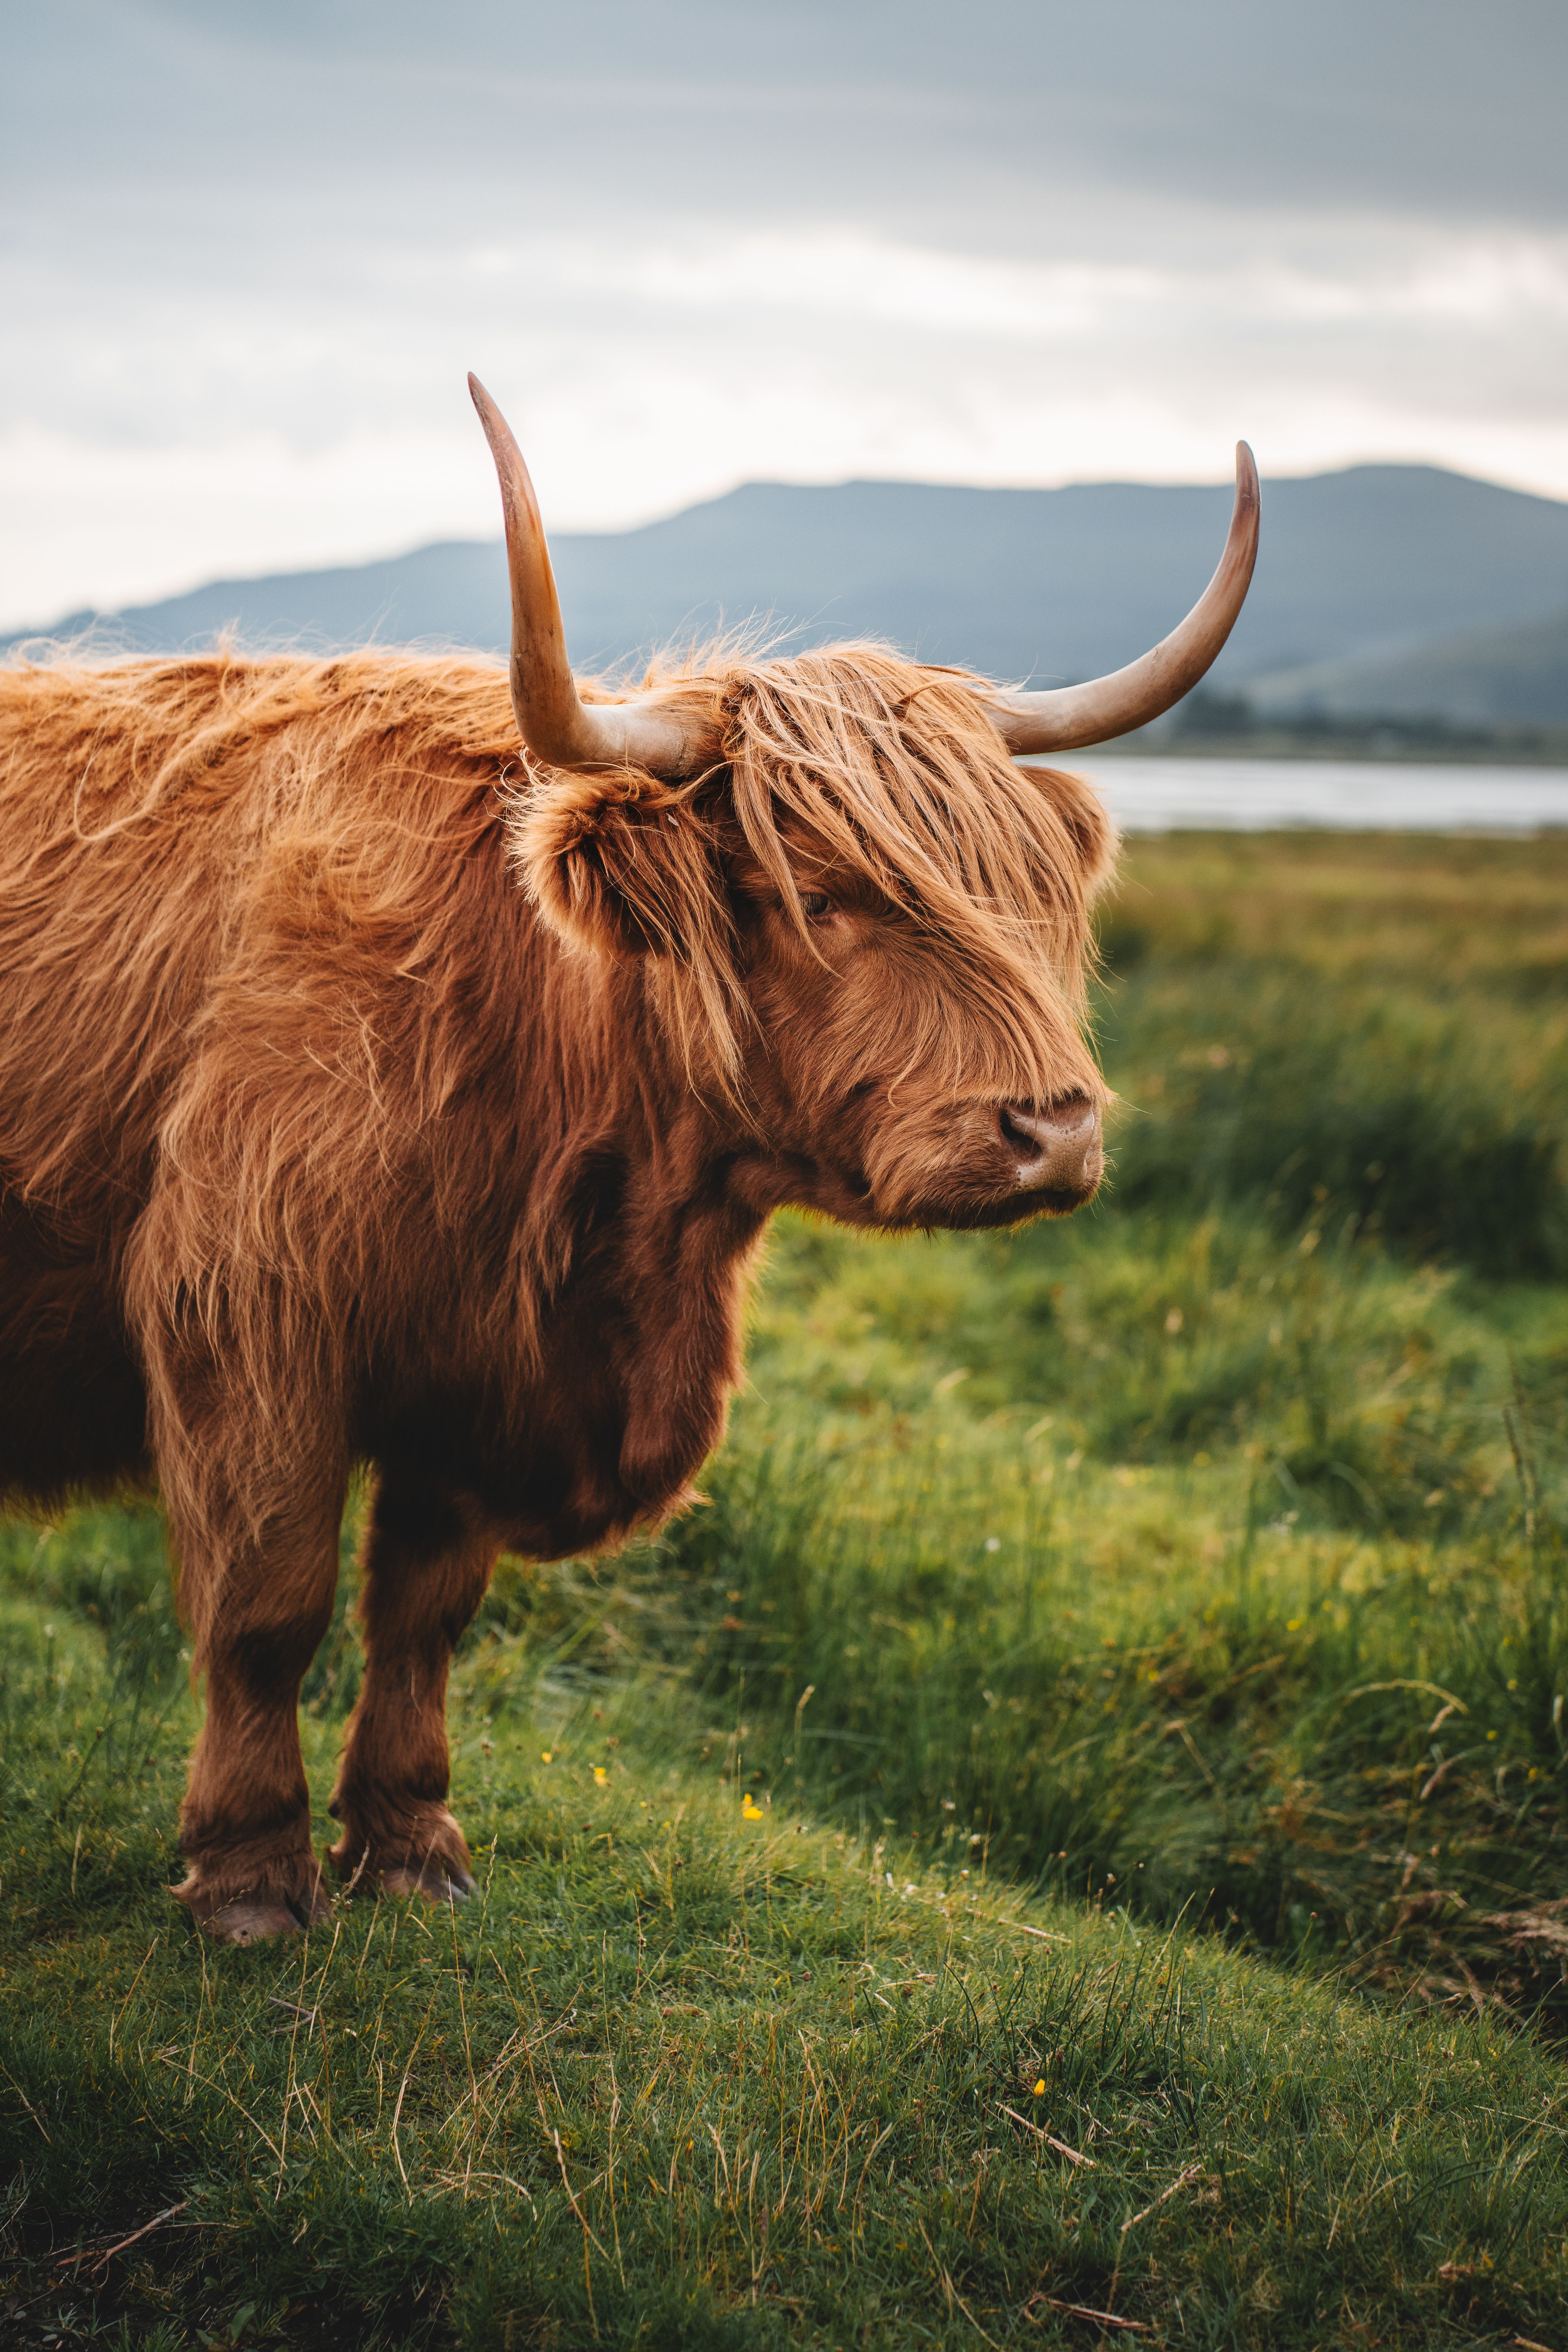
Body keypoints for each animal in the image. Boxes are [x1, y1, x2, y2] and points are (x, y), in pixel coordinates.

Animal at [0, 380, 1258, 1941]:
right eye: (820, 895)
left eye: (1024, 890)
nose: (1055, 1129)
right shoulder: (248, 1313)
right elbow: (270, 1603)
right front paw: (250, 1873)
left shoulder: (481, 1377)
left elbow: (423, 1611)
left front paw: (412, 1846)